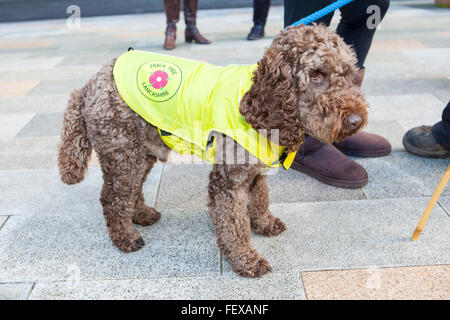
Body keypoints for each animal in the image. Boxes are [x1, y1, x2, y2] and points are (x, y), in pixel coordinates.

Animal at [58, 25, 368, 276]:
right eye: (316, 74)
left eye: (348, 73)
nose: (355, 120)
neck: (259, 105)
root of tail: (88, 85)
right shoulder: (228, 181)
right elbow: (233, 224)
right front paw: (245, 259)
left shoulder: (254, 173)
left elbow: (260, 199)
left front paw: (264, 223)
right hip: (123, 152)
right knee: (112, 197)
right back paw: (125, 237)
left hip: (140, 150)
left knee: (131, 190)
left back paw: (142, 214)